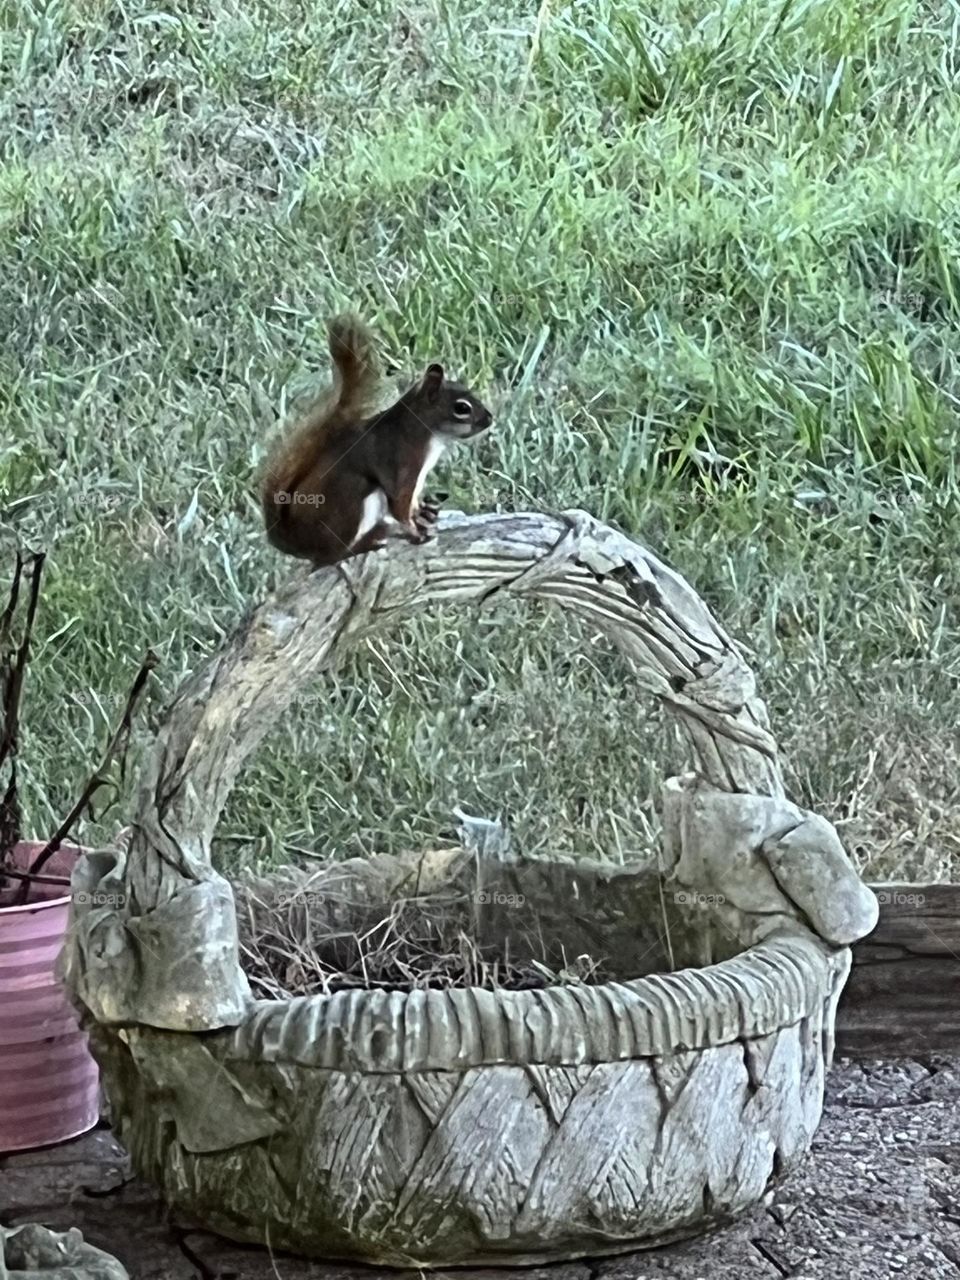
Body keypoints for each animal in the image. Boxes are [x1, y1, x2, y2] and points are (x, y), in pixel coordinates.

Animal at [261, 316, 493, 567]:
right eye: (462, 408)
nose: (490, 419)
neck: (424, 432)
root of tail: (297, 543)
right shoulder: (401, 461)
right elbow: (400, 506)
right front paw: (417, 533)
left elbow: (411, 504)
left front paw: (423, 514)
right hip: (352, 501)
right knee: (332, 556)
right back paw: (366, 543)